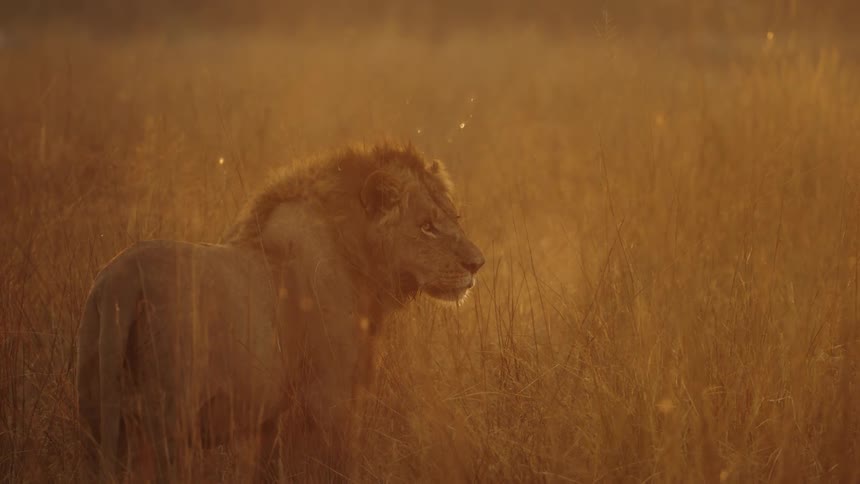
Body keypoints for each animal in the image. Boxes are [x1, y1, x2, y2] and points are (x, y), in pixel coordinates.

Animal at [76, 143, 485, 482]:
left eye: (455, 217)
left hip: (98, 416)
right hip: (170, 421)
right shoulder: (330, 395)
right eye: (427, 227)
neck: (356, 256)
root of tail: (123, 278)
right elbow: (340, 465)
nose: (477, 264)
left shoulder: (267, 418)